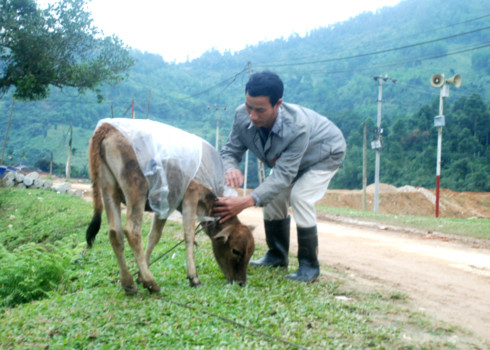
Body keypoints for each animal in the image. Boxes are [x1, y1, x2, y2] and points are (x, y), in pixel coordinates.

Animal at [85, 119, 255, 294]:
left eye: (251, 252)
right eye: (236, 251)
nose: (241, 283)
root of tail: (107, 127)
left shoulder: (164, 204)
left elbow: (154, 236)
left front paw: (140, 275)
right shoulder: (191, 195)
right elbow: (189, 235)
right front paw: (193, 277)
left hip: (109, 191)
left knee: (115, 233)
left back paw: (129, 283)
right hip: (136, 189)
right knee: (132, 231)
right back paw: (151, 282)